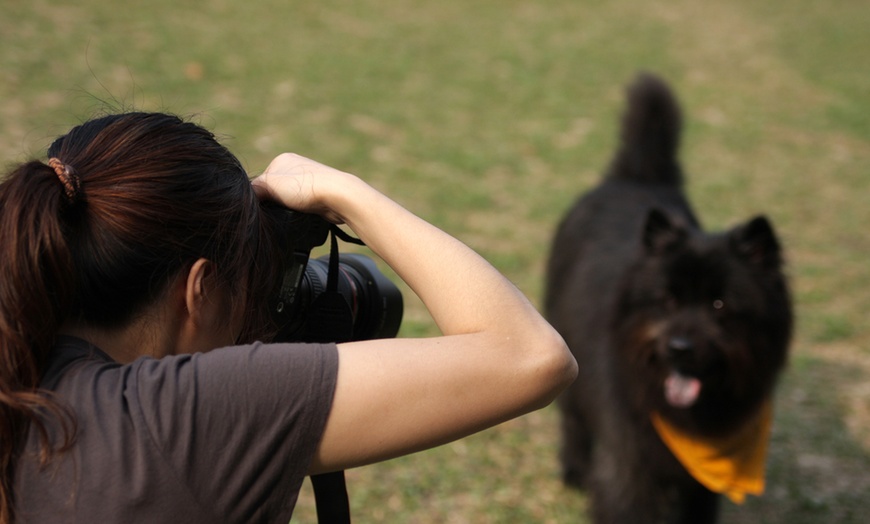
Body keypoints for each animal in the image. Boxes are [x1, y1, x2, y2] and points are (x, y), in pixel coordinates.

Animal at [548, 74, 792, 524]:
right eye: (668, 299)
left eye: (719, 305)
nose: (678, 347)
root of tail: (639, 176)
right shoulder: (629, 465)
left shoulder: (700, 487)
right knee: (573, 419)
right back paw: (573, 469)